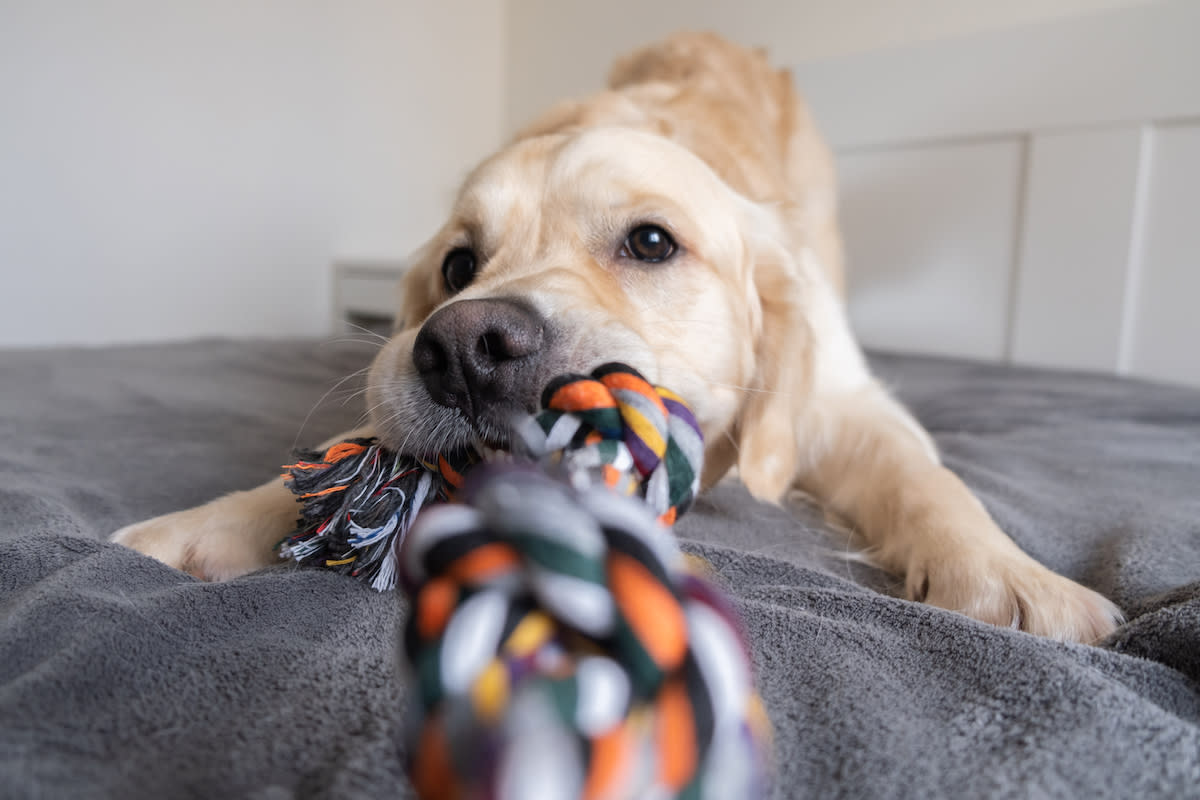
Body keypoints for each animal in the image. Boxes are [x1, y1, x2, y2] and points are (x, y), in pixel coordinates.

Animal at [112, 32, 1113, 642]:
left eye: (652, 243)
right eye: (457, 266)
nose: (462, 349)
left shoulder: (843, 401)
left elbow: (926, 480)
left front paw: (1009, 577)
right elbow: (337, 457)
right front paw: (201, 527)